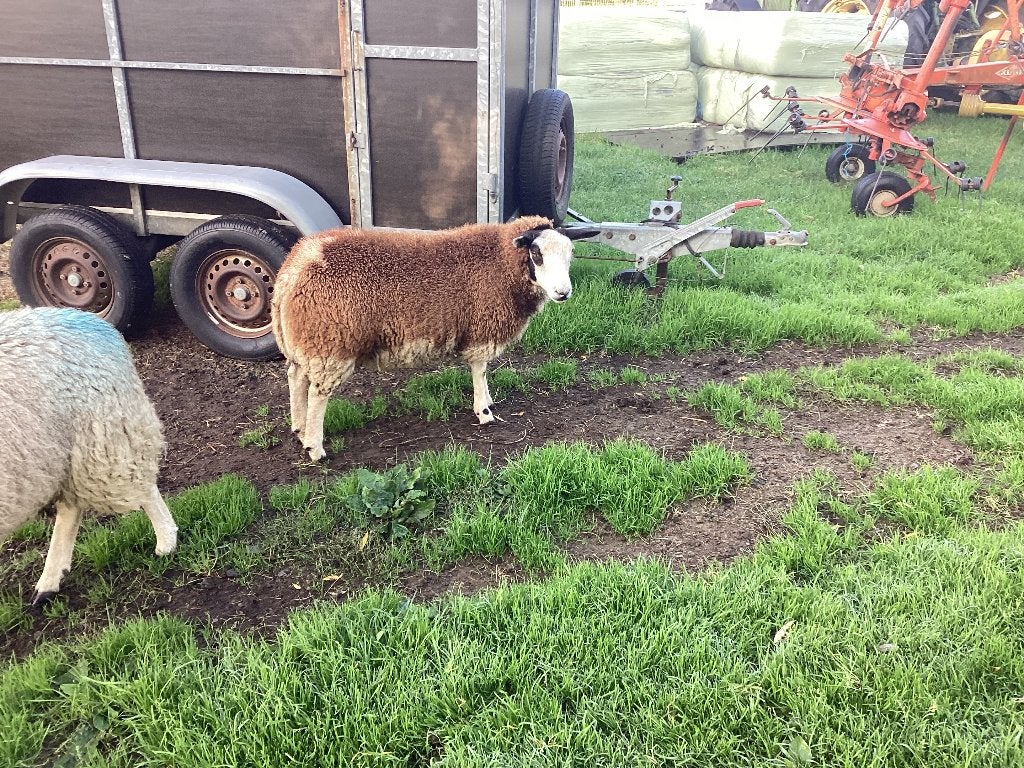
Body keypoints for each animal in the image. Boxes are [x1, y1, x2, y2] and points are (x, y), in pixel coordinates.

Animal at [0, 307, 178, 605]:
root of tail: (92, 321)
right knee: (71, 507)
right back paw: (49, 583)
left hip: (100, 439)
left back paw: (166, 542)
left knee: (140, 486)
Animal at [271, 216, 598, 461]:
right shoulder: (481, 329)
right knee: (317, 394)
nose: (563, 293)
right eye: (537, 254)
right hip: (330, 343)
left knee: (296, 378)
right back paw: (315, 448)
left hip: (306, 342)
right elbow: (479, 370)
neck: (500, 262)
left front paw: (488, 401)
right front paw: (484, 411)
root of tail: (293, 269)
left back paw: (298, 428)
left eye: (570, 254)